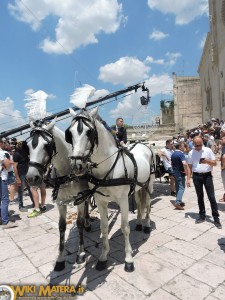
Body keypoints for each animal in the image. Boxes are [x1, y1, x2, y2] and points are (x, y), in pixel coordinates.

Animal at [26, 119, 92, 272]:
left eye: (47, 145)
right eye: (27, 146)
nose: (31, 178)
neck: (67, 173)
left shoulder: (79, 199)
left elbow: (79, 223)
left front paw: (81, 254)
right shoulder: (60, 202)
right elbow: (61, 226)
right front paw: (60, 259)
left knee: (87, 204)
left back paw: (87, 223)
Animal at [66, 108, 156, 272]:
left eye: (89, 132)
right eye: (70, 133)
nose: (77, 166)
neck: (108, 167)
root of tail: (143, 144)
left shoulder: (123, 200)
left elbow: (125, 227)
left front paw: (128, 259)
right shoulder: (101, 201)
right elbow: (104, 228)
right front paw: (103, 257)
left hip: (149, 184)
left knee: (147, 202)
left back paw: (146, 225)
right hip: (138, 187)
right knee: (139, 202)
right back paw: (139, 223)